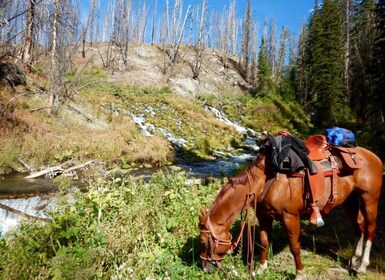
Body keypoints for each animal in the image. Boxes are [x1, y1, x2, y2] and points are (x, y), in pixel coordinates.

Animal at [198, 135, 380, 278]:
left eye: (204, 242)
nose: (205, 269)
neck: (267, 179)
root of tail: (373, 157)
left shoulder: (290, 217)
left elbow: (294, 246)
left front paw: (300, 273)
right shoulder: (264, 216)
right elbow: (264, 242)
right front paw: (261, 268)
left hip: (369, 199)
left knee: (370, 229)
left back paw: (362, 267)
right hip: (350, 200)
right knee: (359, 226)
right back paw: (352, 260)